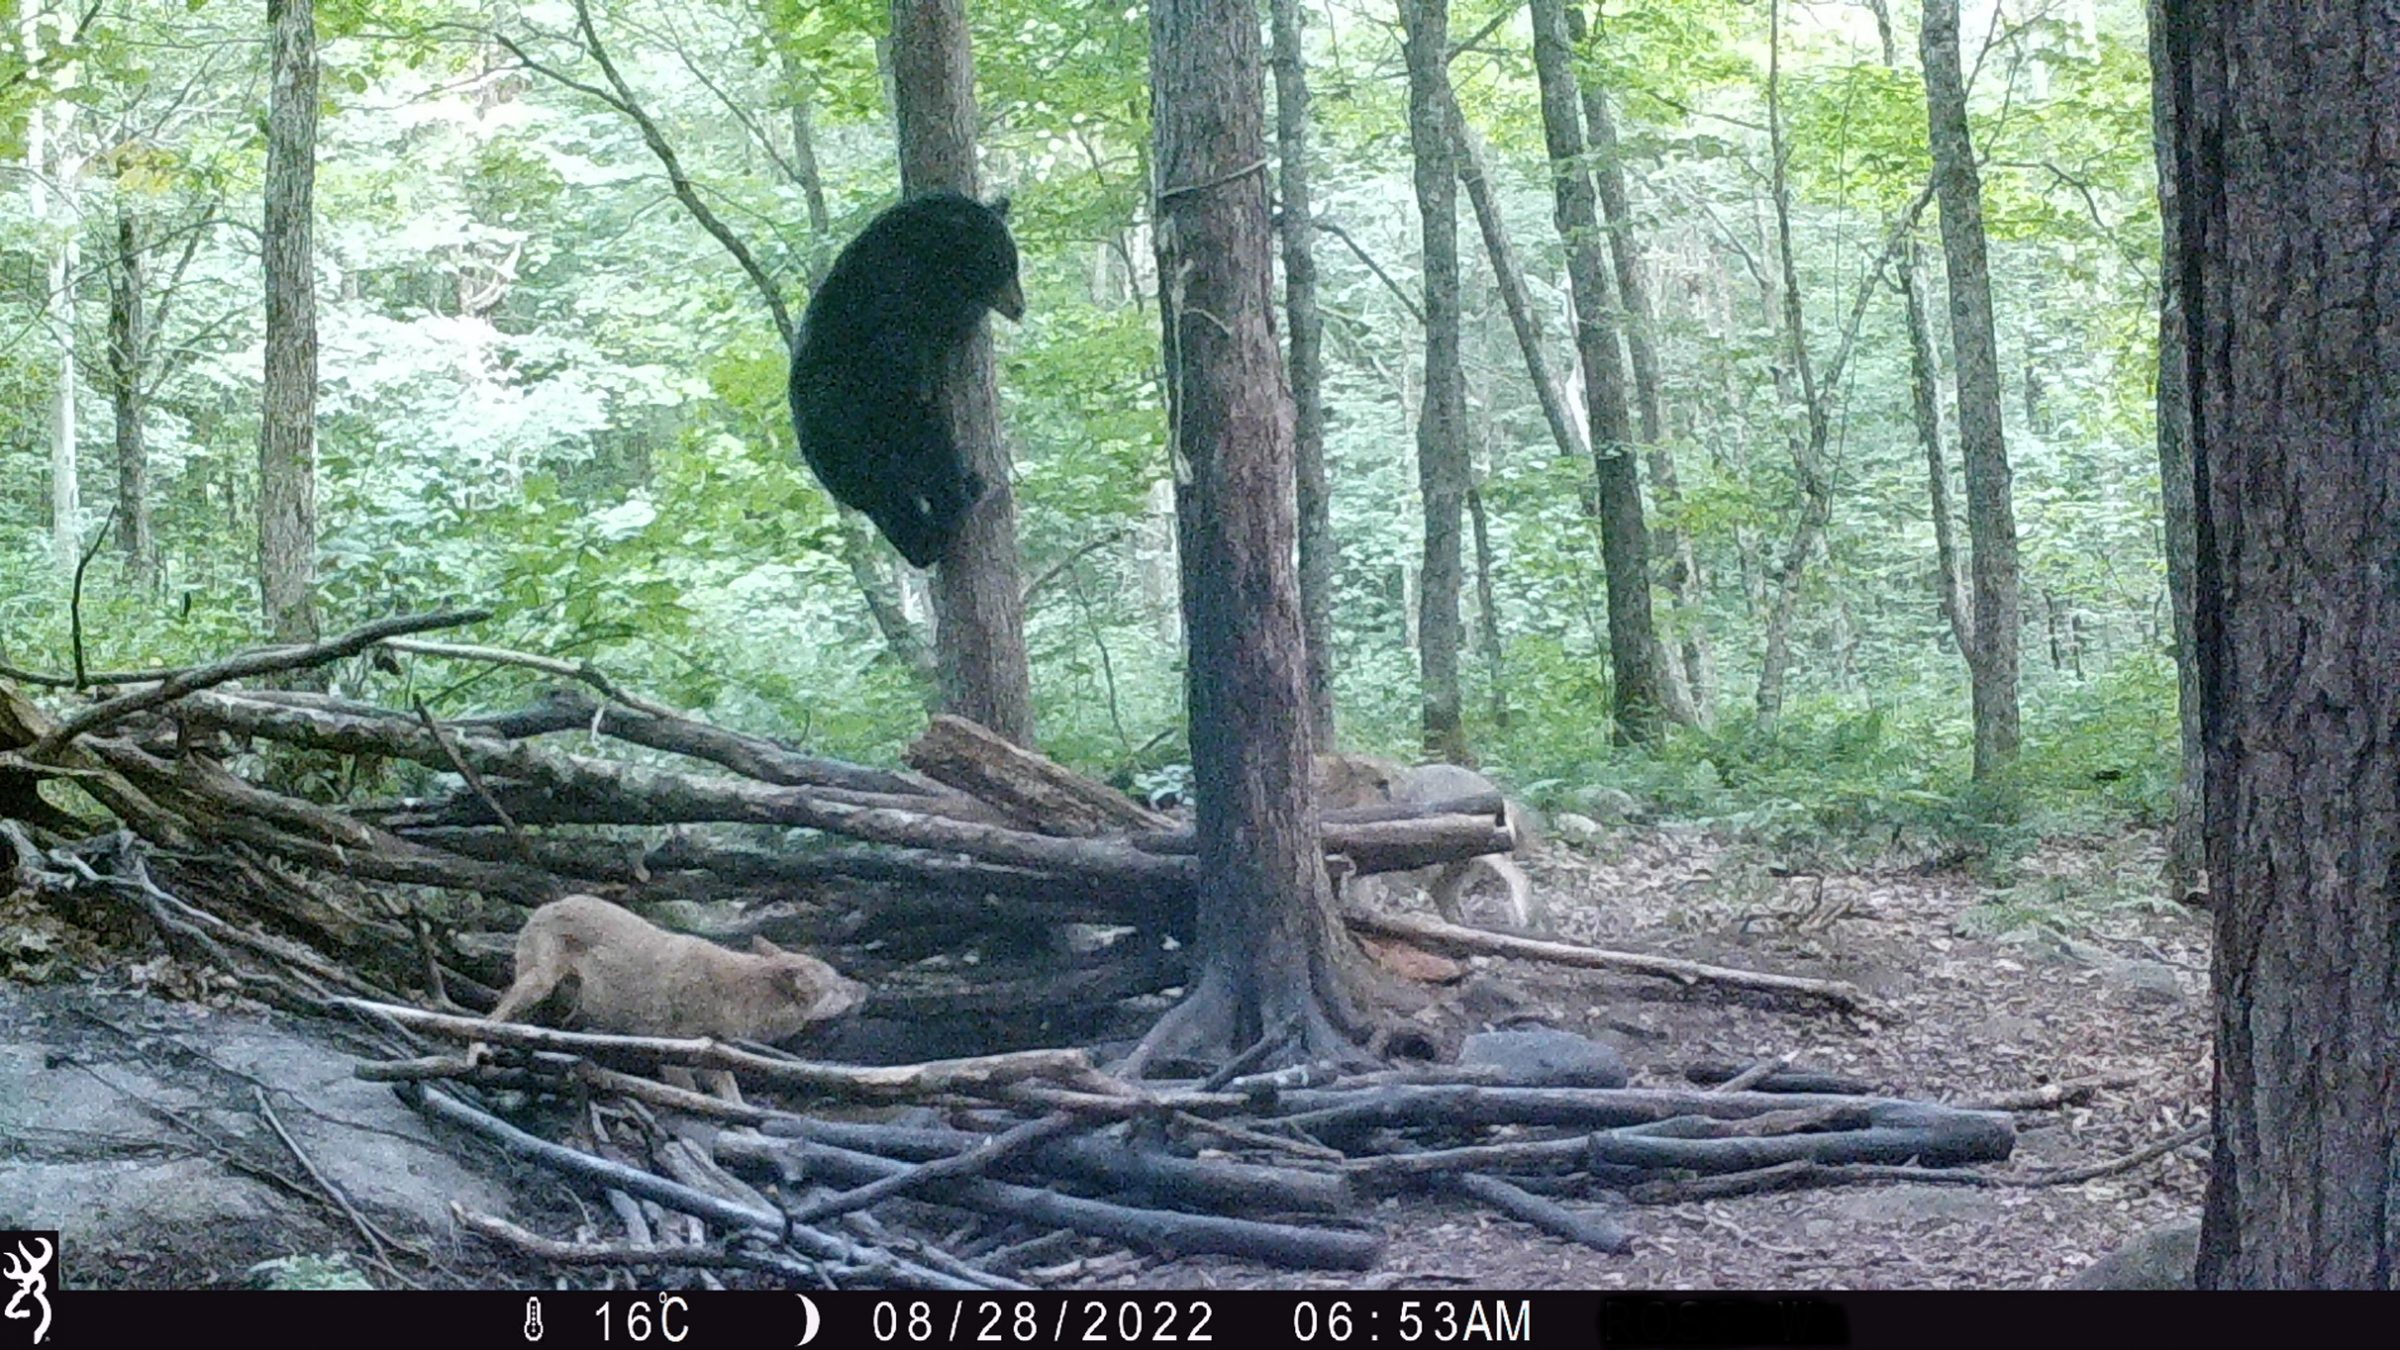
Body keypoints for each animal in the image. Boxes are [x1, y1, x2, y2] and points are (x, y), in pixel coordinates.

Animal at [782, 187, 1017, 562]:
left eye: (1012, 263)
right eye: (1002, 265)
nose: (1019, 307)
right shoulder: (897, 298)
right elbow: (946, 320)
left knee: (895, 512)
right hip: (878, 425)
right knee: (930, 452)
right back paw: (964, 493)